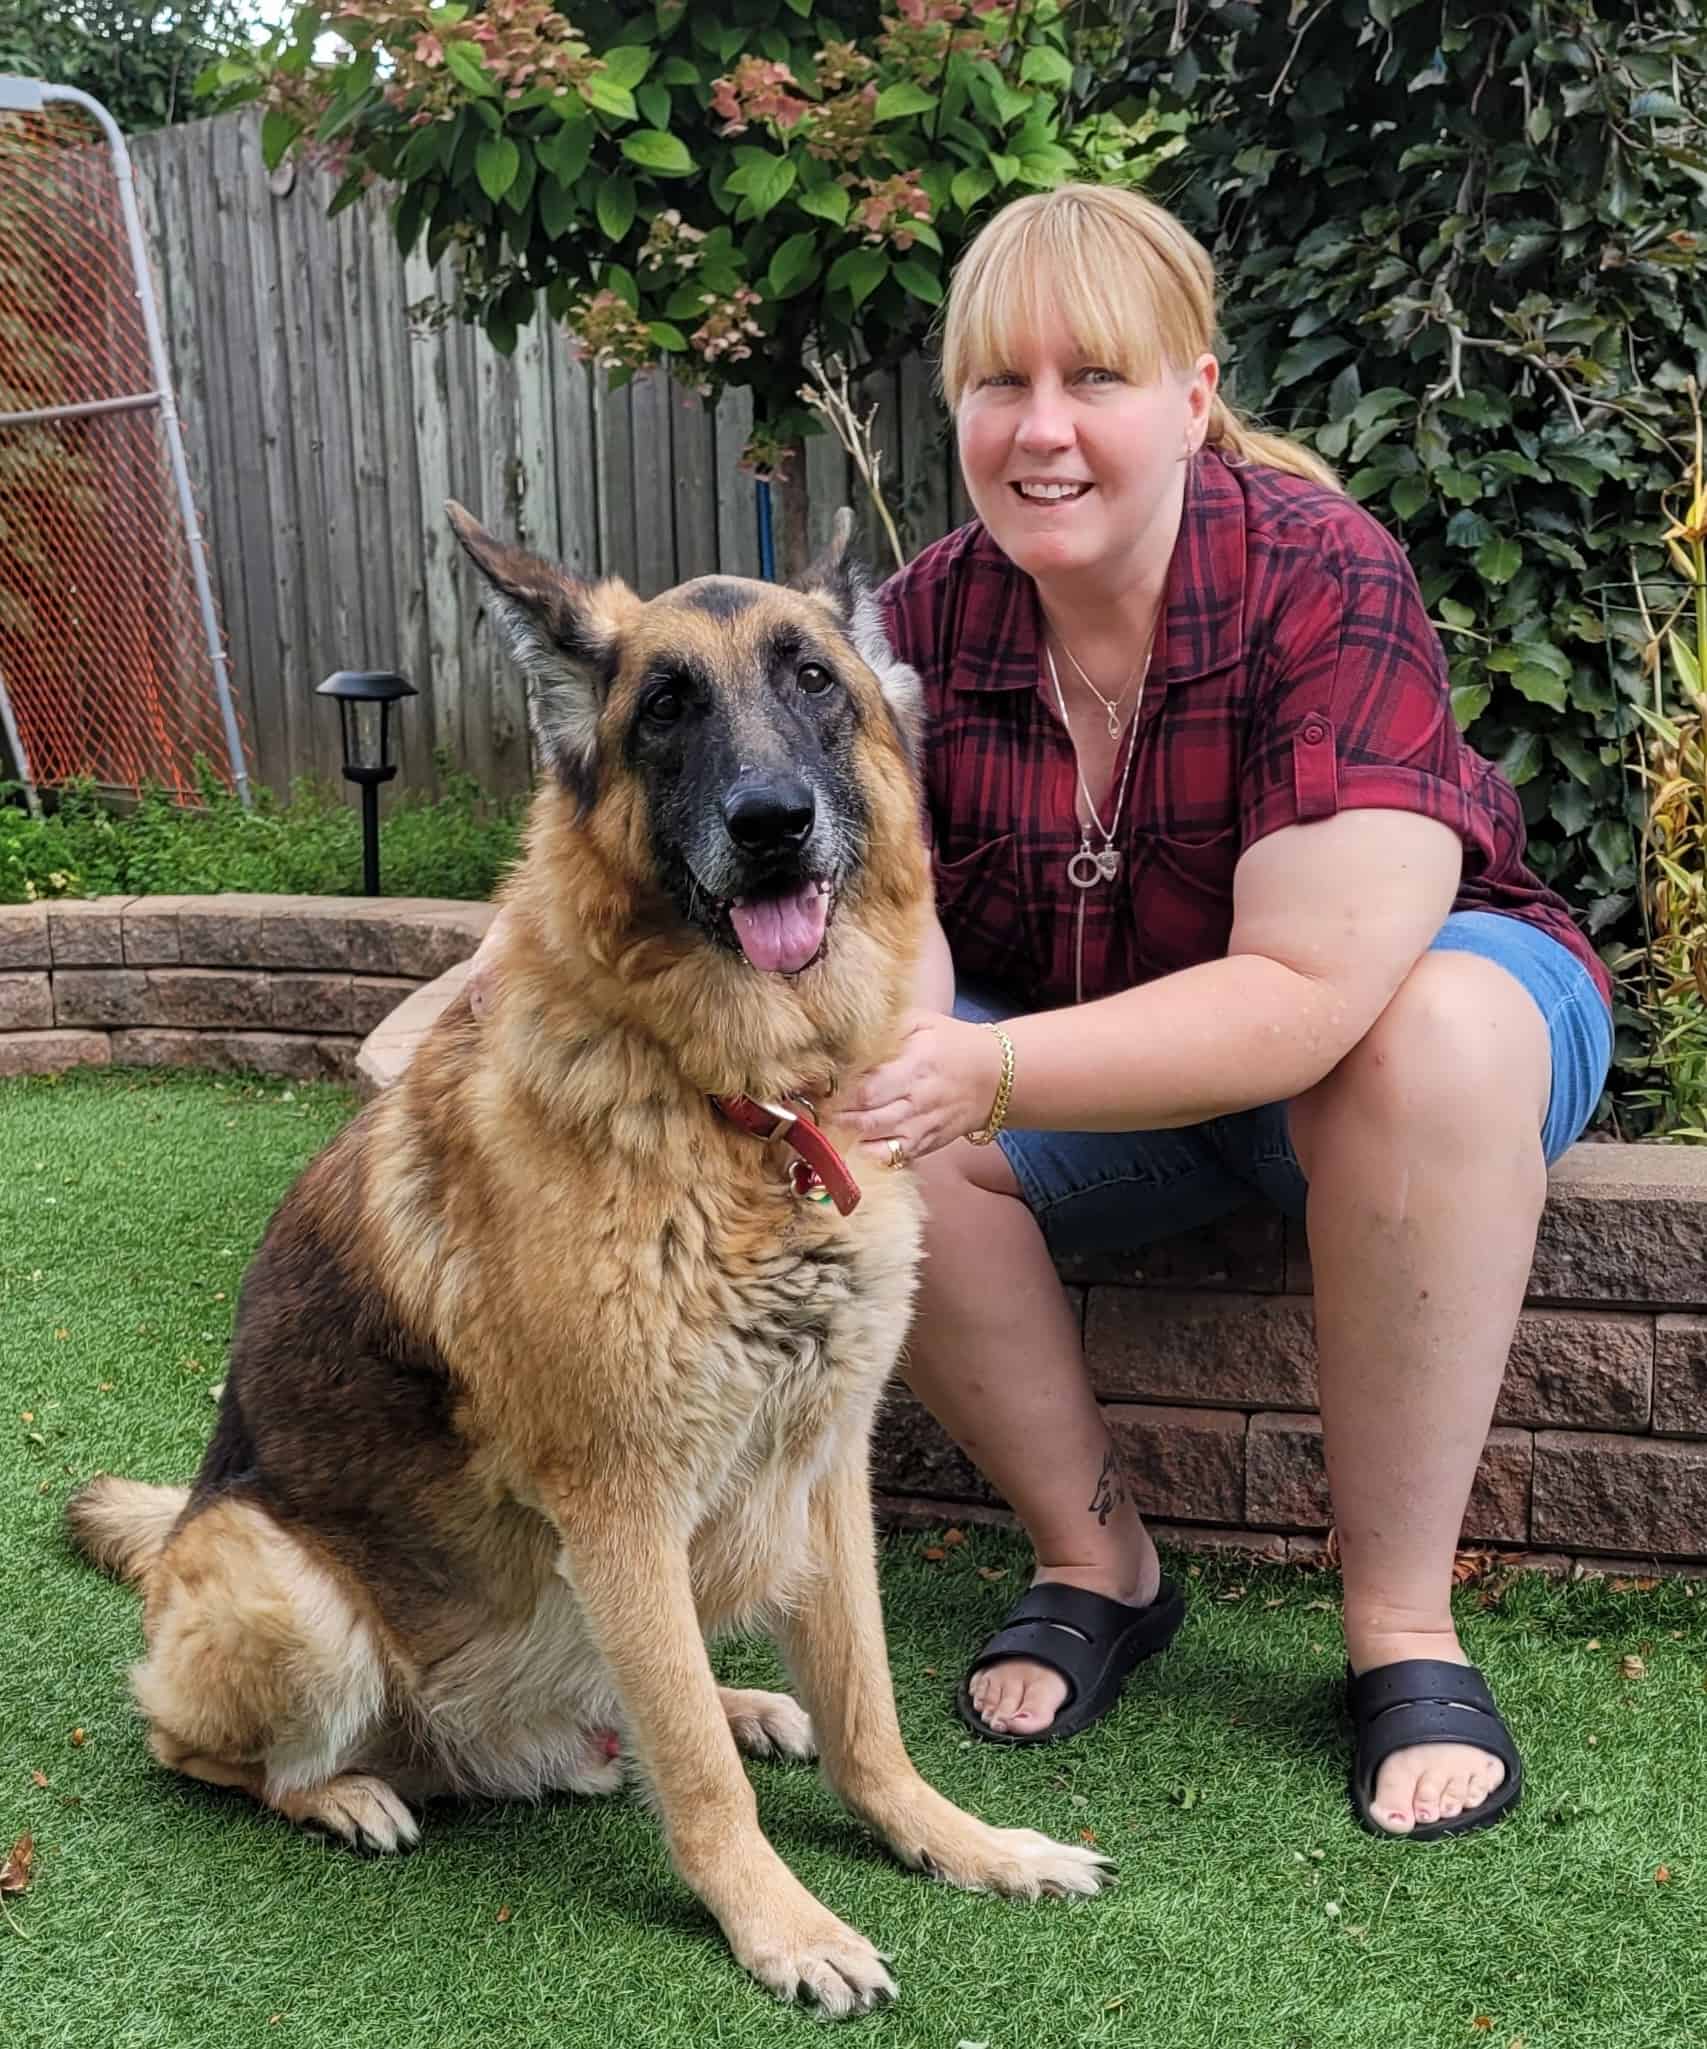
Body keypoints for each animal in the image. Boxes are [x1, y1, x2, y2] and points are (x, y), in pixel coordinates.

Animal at [63, 504, 1106, 2008]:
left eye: (812, 683)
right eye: (665, 709)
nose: (771, 825)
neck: (746, 1113)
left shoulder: (822, 1473)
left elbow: (866, 1711)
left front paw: (951, 1841)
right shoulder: (620, 1507)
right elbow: (701, 1779)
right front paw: (780, 1925)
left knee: (648, 1703)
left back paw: (738, 1700)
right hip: (291, 1595)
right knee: (194, 1744)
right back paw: (348, 1792)